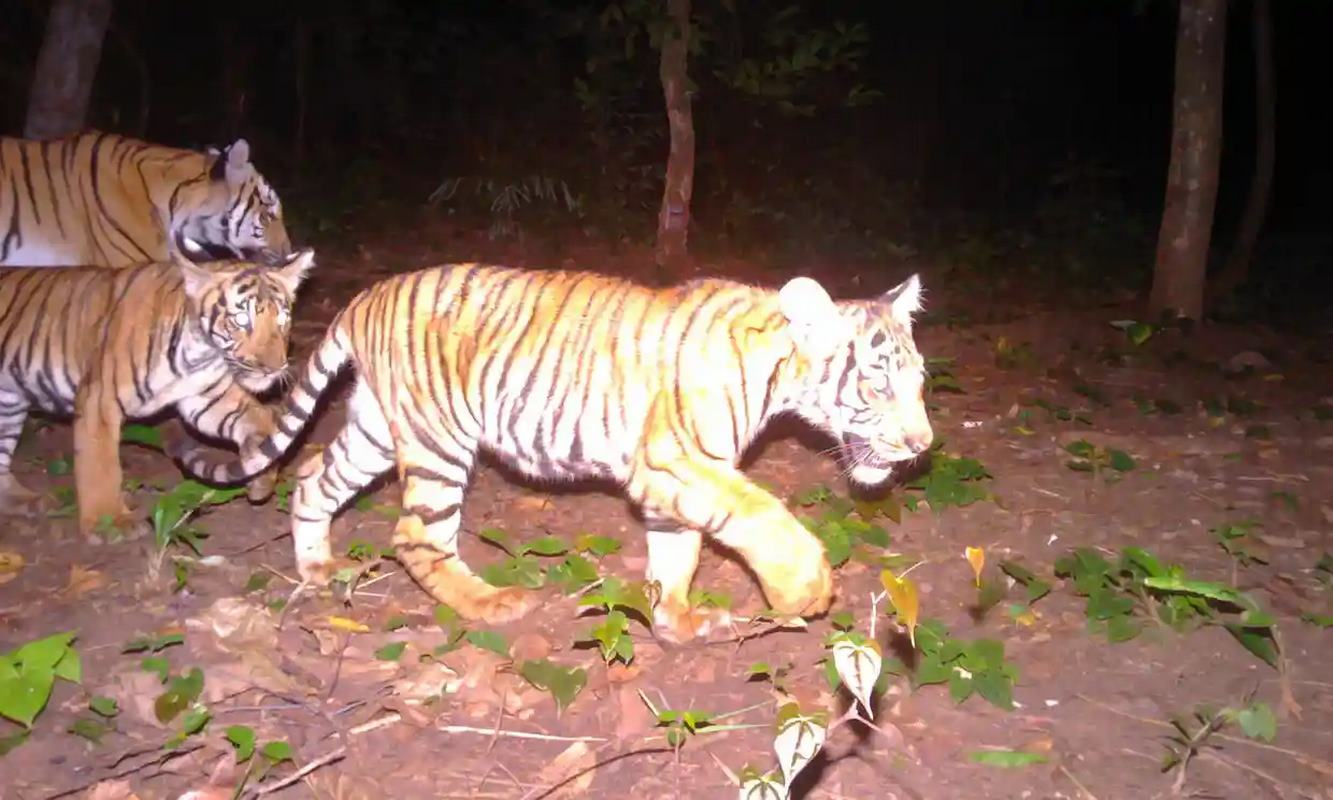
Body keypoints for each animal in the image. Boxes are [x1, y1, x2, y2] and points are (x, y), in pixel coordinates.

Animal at [0, 238, 314, 538]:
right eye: (240, 320)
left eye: (283, 319)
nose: (273, 368)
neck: (199, 353)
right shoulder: (98, 402)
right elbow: (100, 466)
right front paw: (109, 524)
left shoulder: (206, 397)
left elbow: (258, 420)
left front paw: (261, 475)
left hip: (8, 405)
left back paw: (26, 501)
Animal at [169, 265, 938, 640]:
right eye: (877, 381)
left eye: (921, 381)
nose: (922, 445)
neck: (776, 371)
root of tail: (365, 297)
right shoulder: (677, 460)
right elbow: (761, 514)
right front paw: (802, 590)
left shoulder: (676, 480)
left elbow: (677, 551)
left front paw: (677, 621)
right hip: (438, 443)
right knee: (415, 535)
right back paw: (490, 604)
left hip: (376, 430)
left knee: (310, 479)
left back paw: (317, 569)